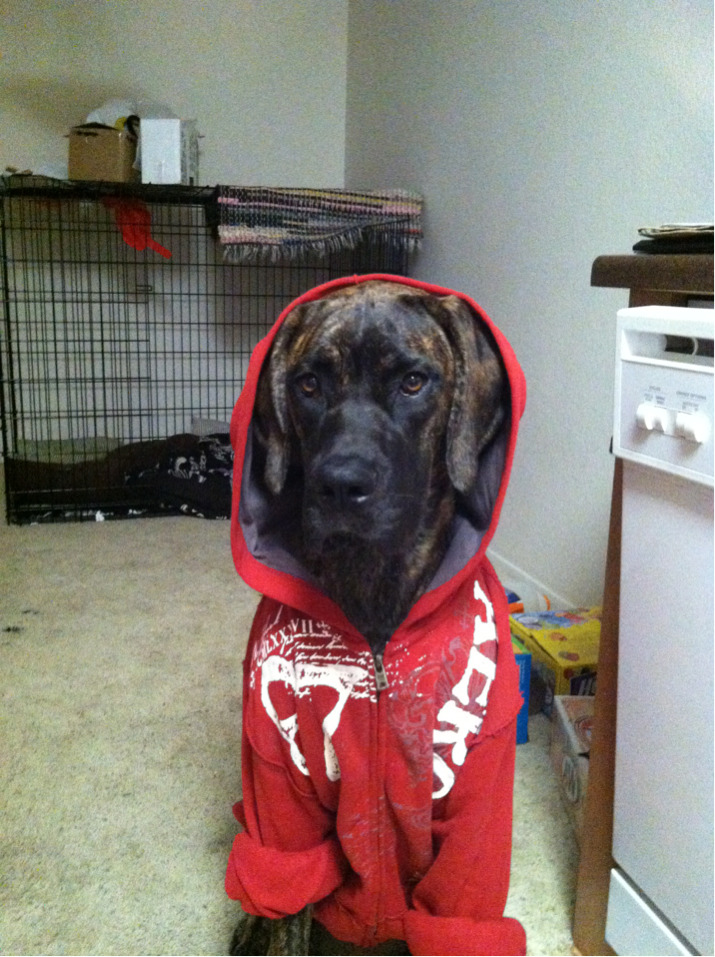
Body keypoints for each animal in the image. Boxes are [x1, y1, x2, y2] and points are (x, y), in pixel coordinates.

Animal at [227, 278, 526, 956]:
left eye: (413, 382)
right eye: (308, 384)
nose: (341, 484)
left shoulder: (480, 800)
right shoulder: (276, 780)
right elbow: (284, 896)